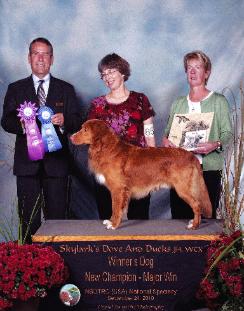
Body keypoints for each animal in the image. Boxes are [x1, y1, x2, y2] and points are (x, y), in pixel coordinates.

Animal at [70, 120, 212, 230]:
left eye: (85, 130)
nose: (71, 137)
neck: (105, 148)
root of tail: (191, 155)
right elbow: (116, 208)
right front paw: (110, 221)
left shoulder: (118, 189)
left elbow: (115, 208)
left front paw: (114, 225)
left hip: (182, 188)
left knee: (197, 205)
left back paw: (194, 225)